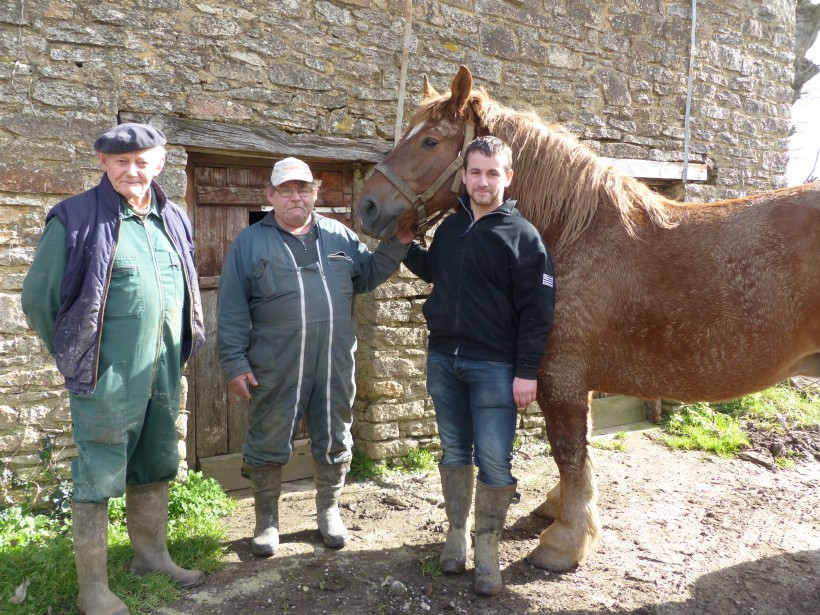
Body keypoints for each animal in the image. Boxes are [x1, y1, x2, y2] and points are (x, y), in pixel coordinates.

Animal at [354, 66, 820, 572]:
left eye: (430, 141)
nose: (366, 206)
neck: (573, 235)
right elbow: (579, 450)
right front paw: (556, 509)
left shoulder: (561, 380)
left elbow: (569, 450)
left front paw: (566, 541)